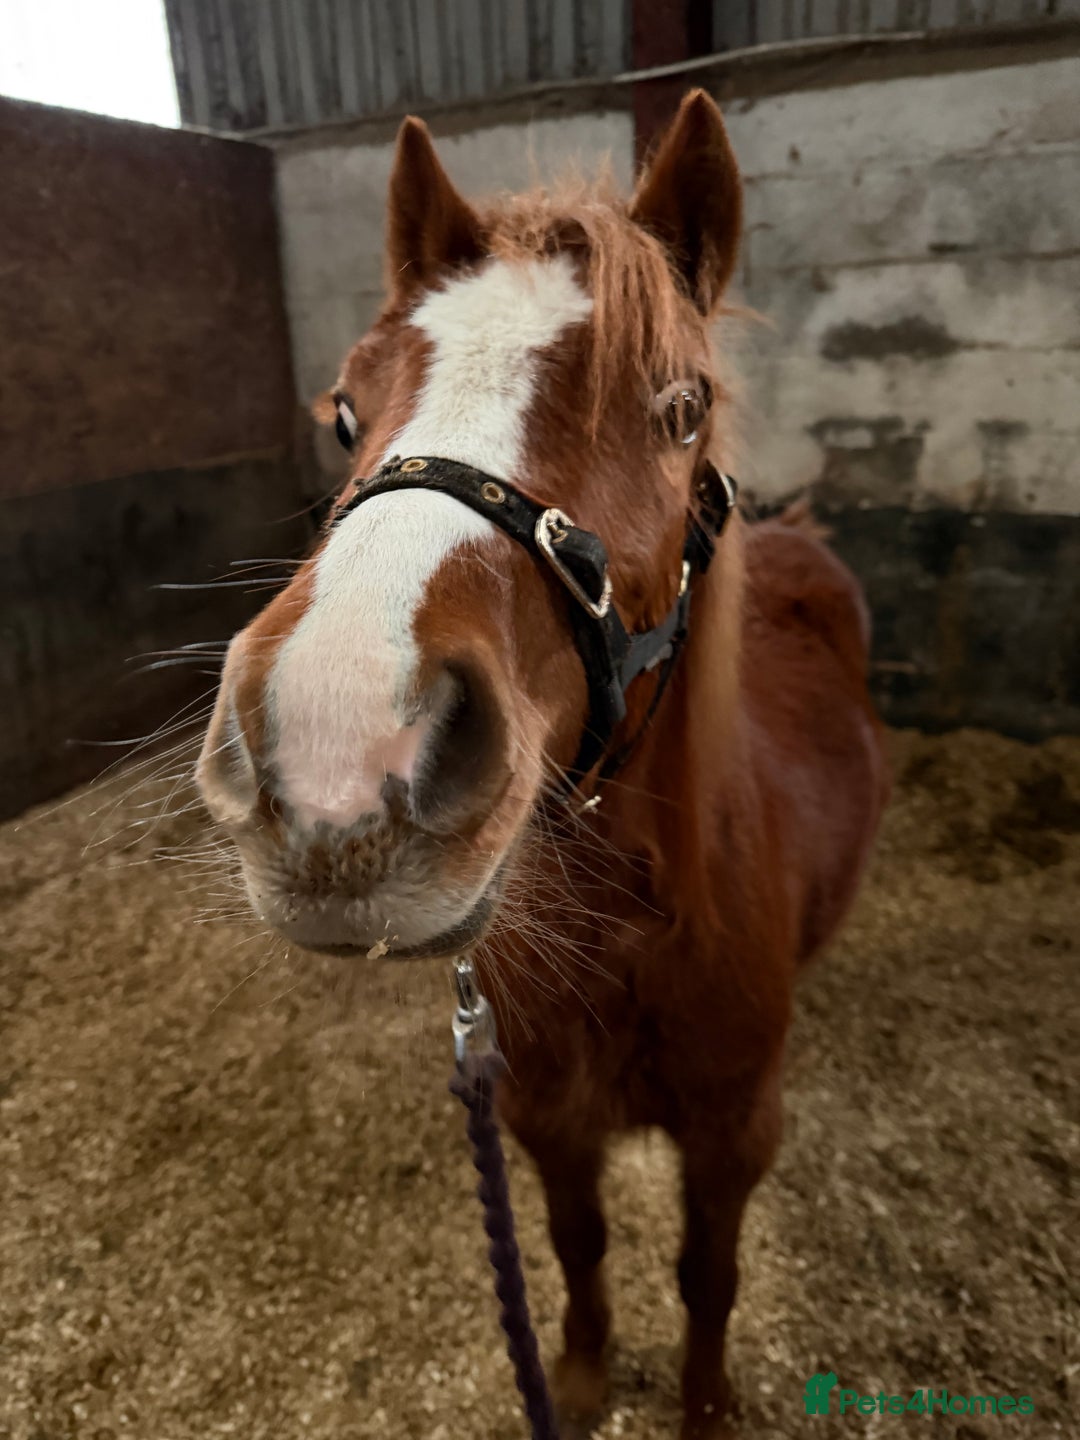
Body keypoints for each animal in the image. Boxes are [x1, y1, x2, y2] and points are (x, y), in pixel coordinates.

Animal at [196, 89, 888, 1439]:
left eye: (681, 408)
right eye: (345, 410)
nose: (338, 748)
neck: (632, 928)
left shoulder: (733, 1133)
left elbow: (708, 1270)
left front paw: (704, 1405)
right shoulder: (542, 1114)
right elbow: (576, 1244)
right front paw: (574, 1380)